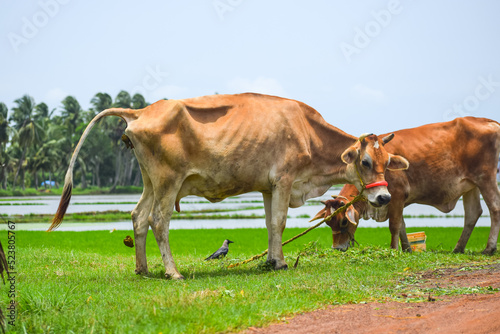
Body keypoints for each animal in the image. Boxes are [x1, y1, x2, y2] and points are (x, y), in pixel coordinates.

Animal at [47, 92, 408, 278]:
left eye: (388, 160)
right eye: (365, 162)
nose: (383, 196)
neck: (307, 132)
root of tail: (142, 111)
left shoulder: (268, 187)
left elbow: (269, 224)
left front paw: (271, 260)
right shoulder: (285, 179)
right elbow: (280, 222)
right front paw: (280, 263)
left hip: (150, 182)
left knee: (137, 217)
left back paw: (143, 269)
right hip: (168, 181)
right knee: (157, 220)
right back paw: (172, 272)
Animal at [312, 116, 500, 254]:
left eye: (344, 221)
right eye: (329, 222)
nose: (337, 248)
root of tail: (489, 121)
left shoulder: (395, 196)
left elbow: (394, 225)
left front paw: (394, 250)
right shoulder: (395, 201)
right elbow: (402, 225)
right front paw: (407, 249)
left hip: (486, 178)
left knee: (494, 208)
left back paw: (489, 248)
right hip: (471, 185)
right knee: (473, 213)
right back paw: (458, 248)